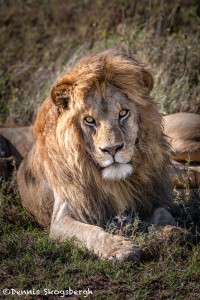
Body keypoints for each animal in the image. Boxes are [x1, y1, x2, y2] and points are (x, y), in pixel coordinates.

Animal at [17, 50, 177, 262]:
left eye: (123, 113)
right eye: (89, 120)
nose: (112, 149)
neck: (115, 183)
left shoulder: (151, 199)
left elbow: (164, 214)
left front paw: (173, 233)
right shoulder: (62, 216)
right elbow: (91, 232)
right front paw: (121, 249)